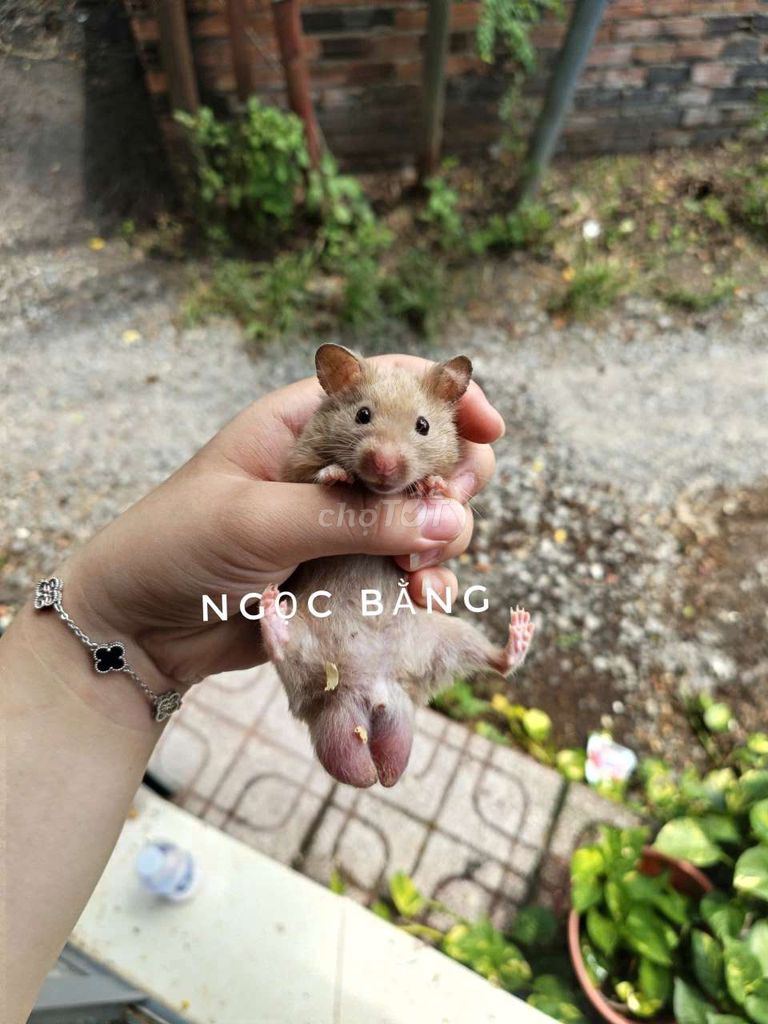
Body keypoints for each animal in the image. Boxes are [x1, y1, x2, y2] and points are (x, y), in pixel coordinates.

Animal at [261, 344, 535, 789]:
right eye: (362, 415)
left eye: (423, 425)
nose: (385, 465)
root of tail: (371, 691)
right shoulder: (293, 466)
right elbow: (311, 474)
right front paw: (337, 475)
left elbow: (450, 490)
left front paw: (433, 487)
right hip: (307, 645)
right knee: (285, 649)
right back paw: (270, 609)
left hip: (449, 638)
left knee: (497, 662)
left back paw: (521, 628)